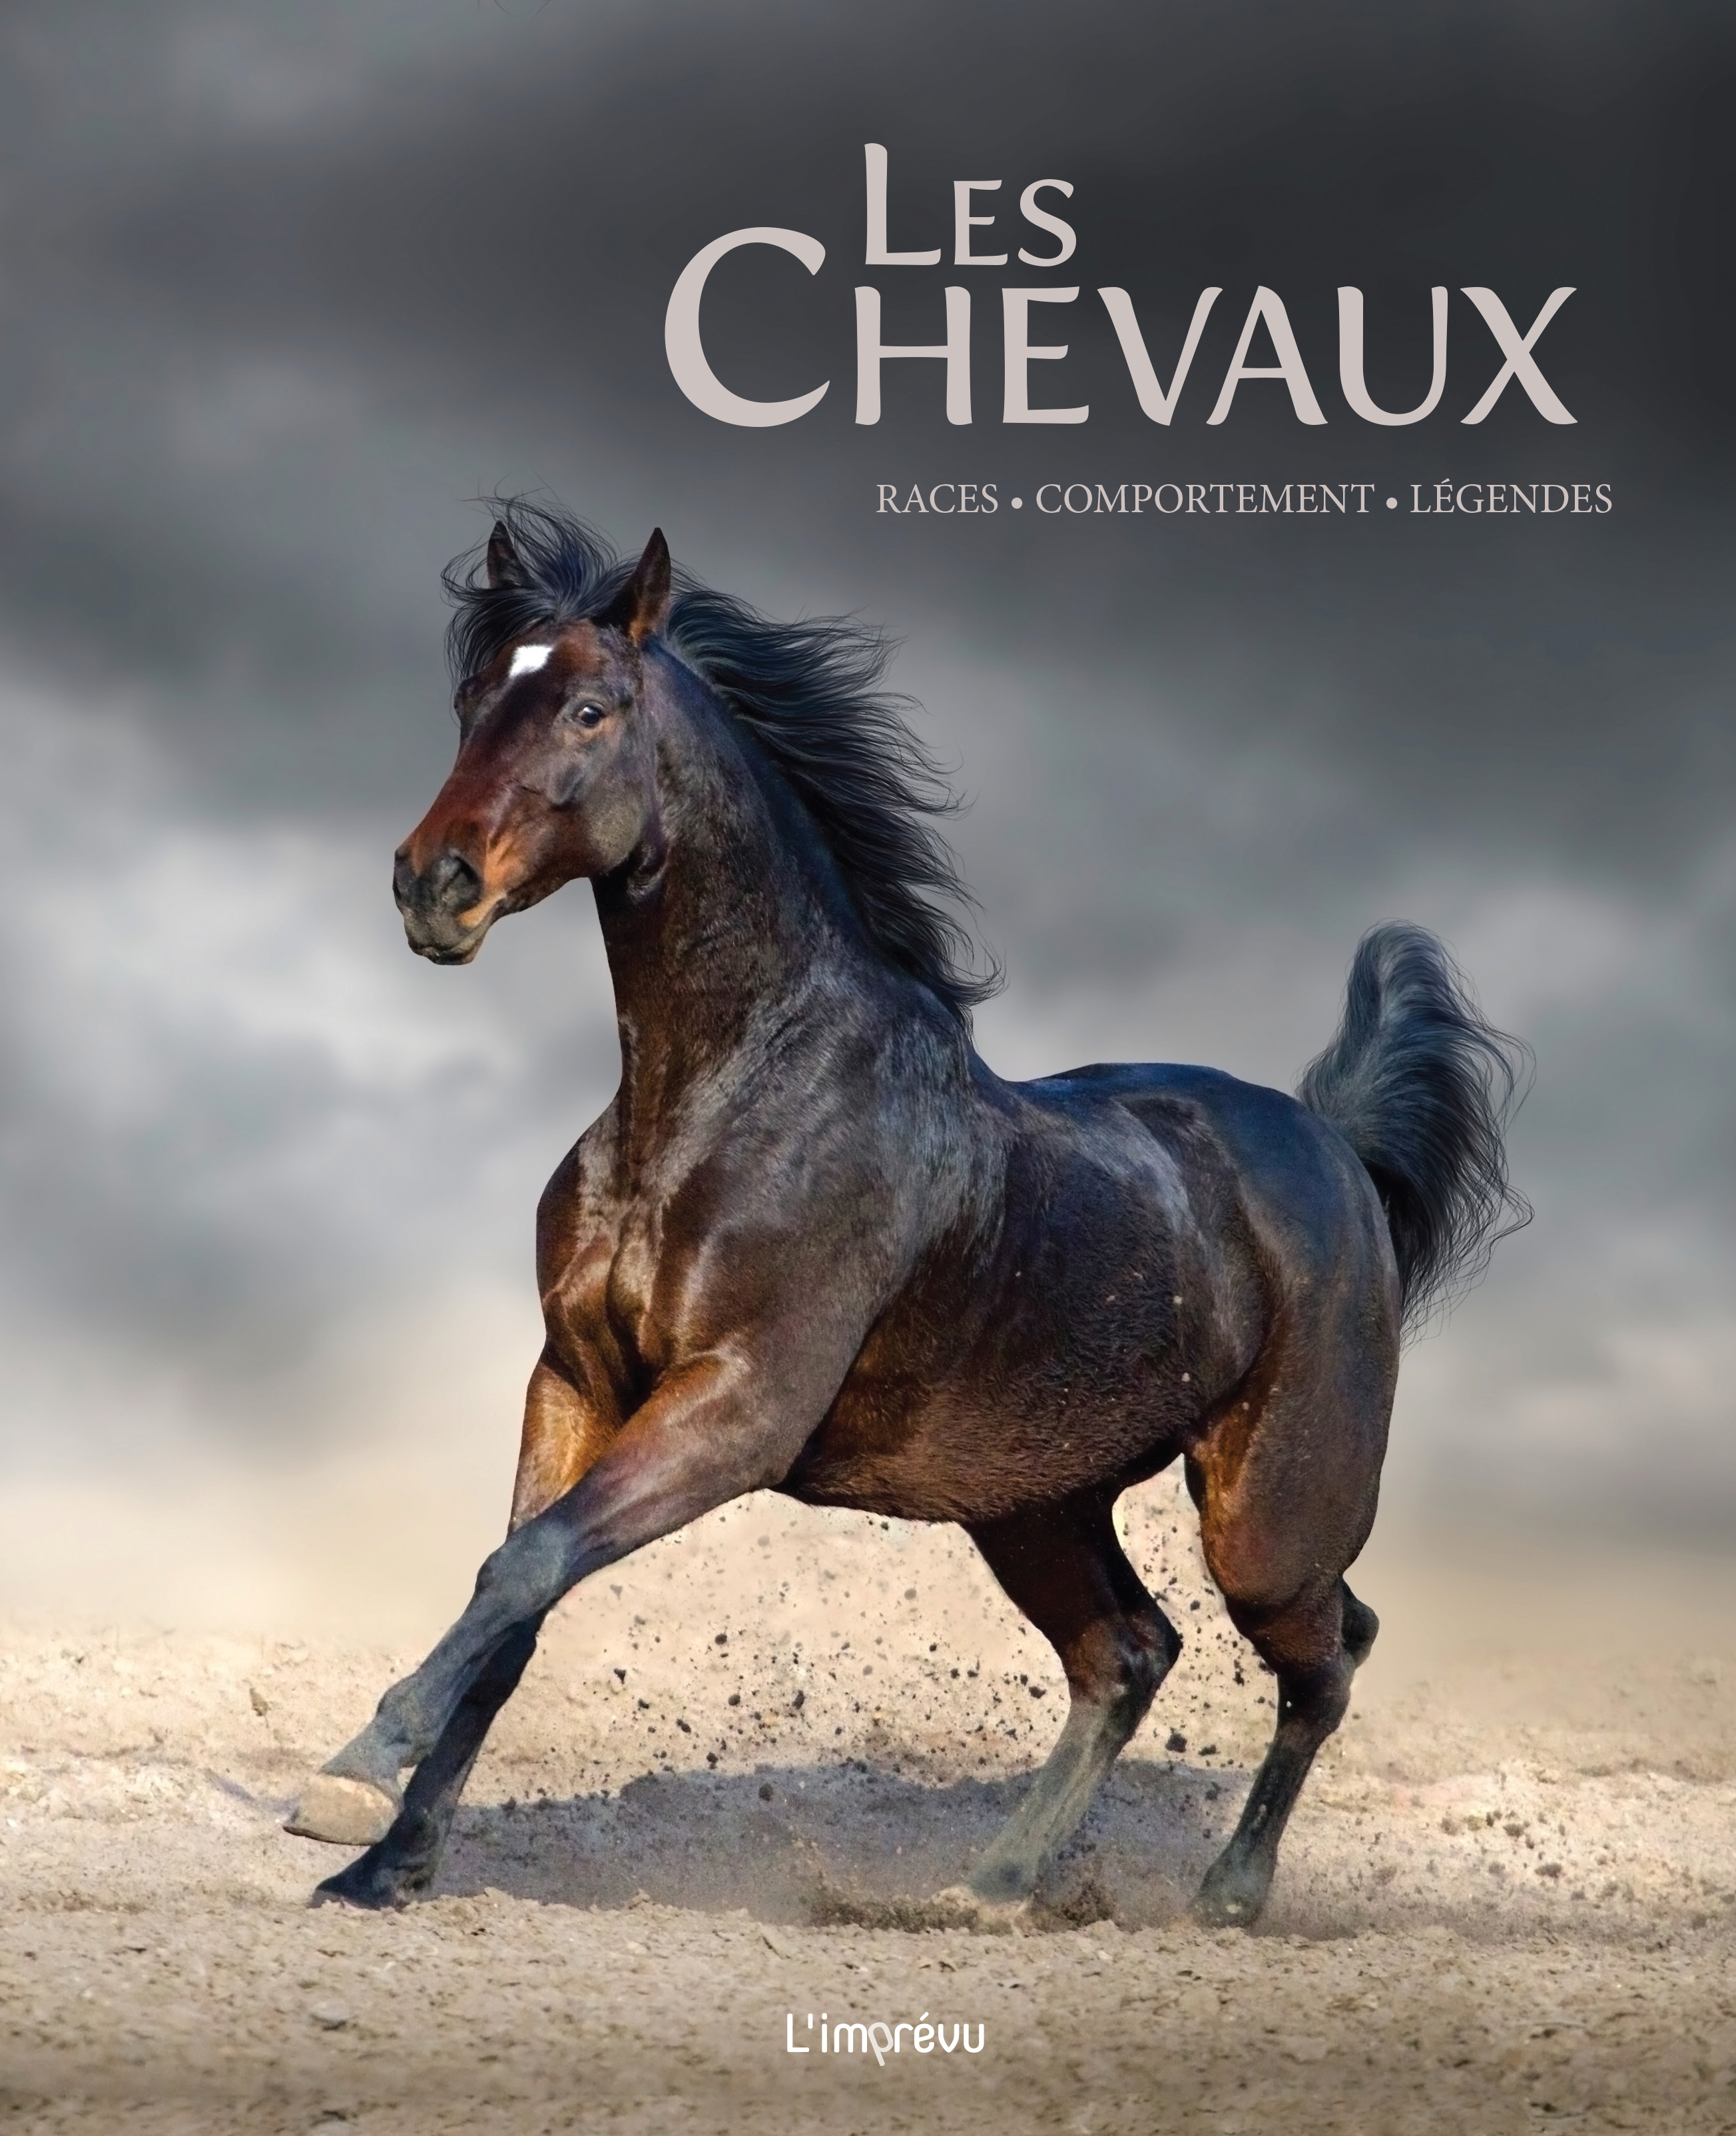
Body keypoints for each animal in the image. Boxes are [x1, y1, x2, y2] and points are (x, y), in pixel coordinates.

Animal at [286, 502, 1528, 1926]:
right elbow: (514, 1606)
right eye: (474, 697)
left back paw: (1224, 1895)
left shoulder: (736, 1408)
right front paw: (385, 1865)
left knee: (1326, 1652)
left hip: (1265, 1518)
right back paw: (989, 1886)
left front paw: (347, 1780)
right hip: (1034, 1500)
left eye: (590, 708)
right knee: (1128, 1651)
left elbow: (524, 1570)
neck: (730, 1095)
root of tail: (1333, 1142)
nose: (430, 886)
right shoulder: (576, 1381)